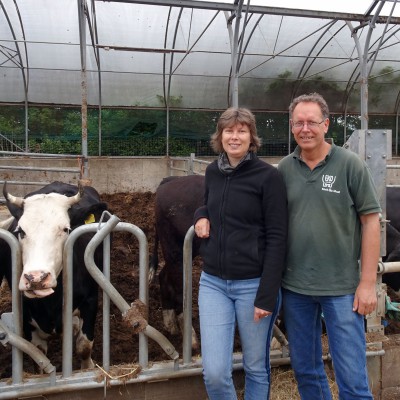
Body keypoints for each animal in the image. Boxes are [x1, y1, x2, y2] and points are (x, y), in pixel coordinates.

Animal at [0, 181, 108, 368]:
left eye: (65, 229)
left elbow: (84, 346)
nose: (36, 278)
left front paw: (88, 368)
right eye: (21, 231)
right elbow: (39, 354)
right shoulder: (25, 314)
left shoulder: (90, 300)